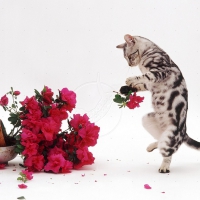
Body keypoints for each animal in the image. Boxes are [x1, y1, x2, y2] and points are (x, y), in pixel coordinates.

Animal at [117, 34, 200, 172]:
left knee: (168, 152)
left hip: (170, 138)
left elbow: (145, 76)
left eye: (129, 56)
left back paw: (164, 167)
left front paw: (130, 79)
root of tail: (184, 133)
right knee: (160, 139)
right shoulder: (150, 84)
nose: (130, 64)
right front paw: (125, 89)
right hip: (147, 120)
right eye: (126, 58)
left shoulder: (159, 71)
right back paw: (151, 146)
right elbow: (140, 85)